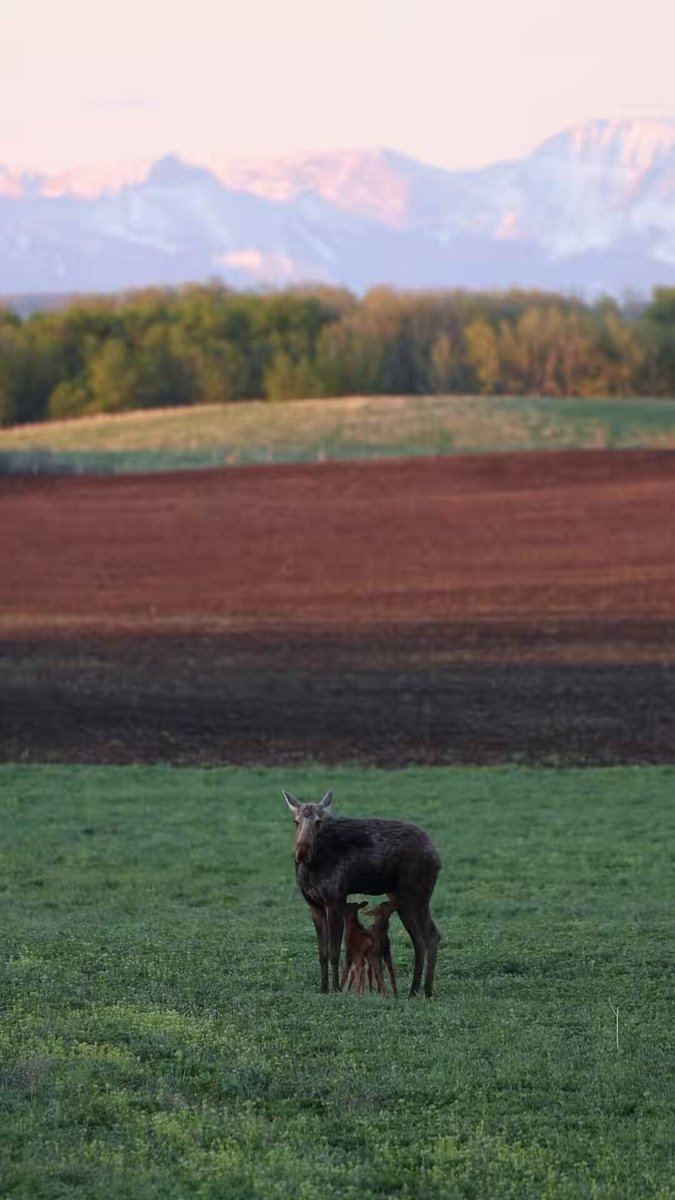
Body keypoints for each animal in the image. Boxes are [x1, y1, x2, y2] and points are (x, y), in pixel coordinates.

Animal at [283, 789, 441, 997]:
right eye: (296, 821)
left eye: (319, 821)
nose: (301, 853)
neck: (311, 868)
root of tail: (437, 856)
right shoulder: (314, 906)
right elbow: (322, 953)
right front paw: (323, 989)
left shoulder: (335, 900)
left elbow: (335, 951)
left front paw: (336, 989)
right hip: (402, 900)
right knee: (419, 940)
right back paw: (414, 990)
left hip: (417, 895)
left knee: (432, 936)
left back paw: (427, 991)